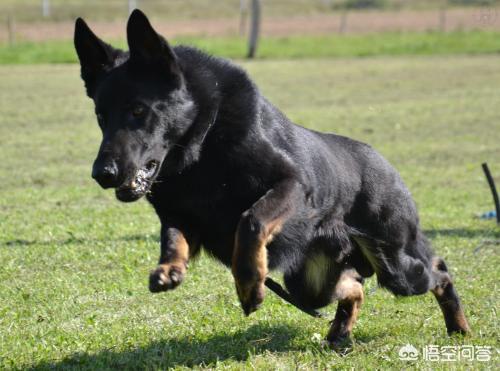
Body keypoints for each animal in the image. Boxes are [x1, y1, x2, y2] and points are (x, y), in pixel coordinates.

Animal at [73, 10, 468, 348]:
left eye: (139, 110)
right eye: (100, 116)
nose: (102, 174)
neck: (203, 150)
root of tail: (384, 163)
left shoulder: (291, 185)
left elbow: (251, 221)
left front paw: (249, 283)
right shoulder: (181, 218)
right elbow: (173, 241)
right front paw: (170, 269)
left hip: (396, 266)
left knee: (438, 271)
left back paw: (458, 326)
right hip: (310, 284)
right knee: (354, 288)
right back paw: (339, 334)